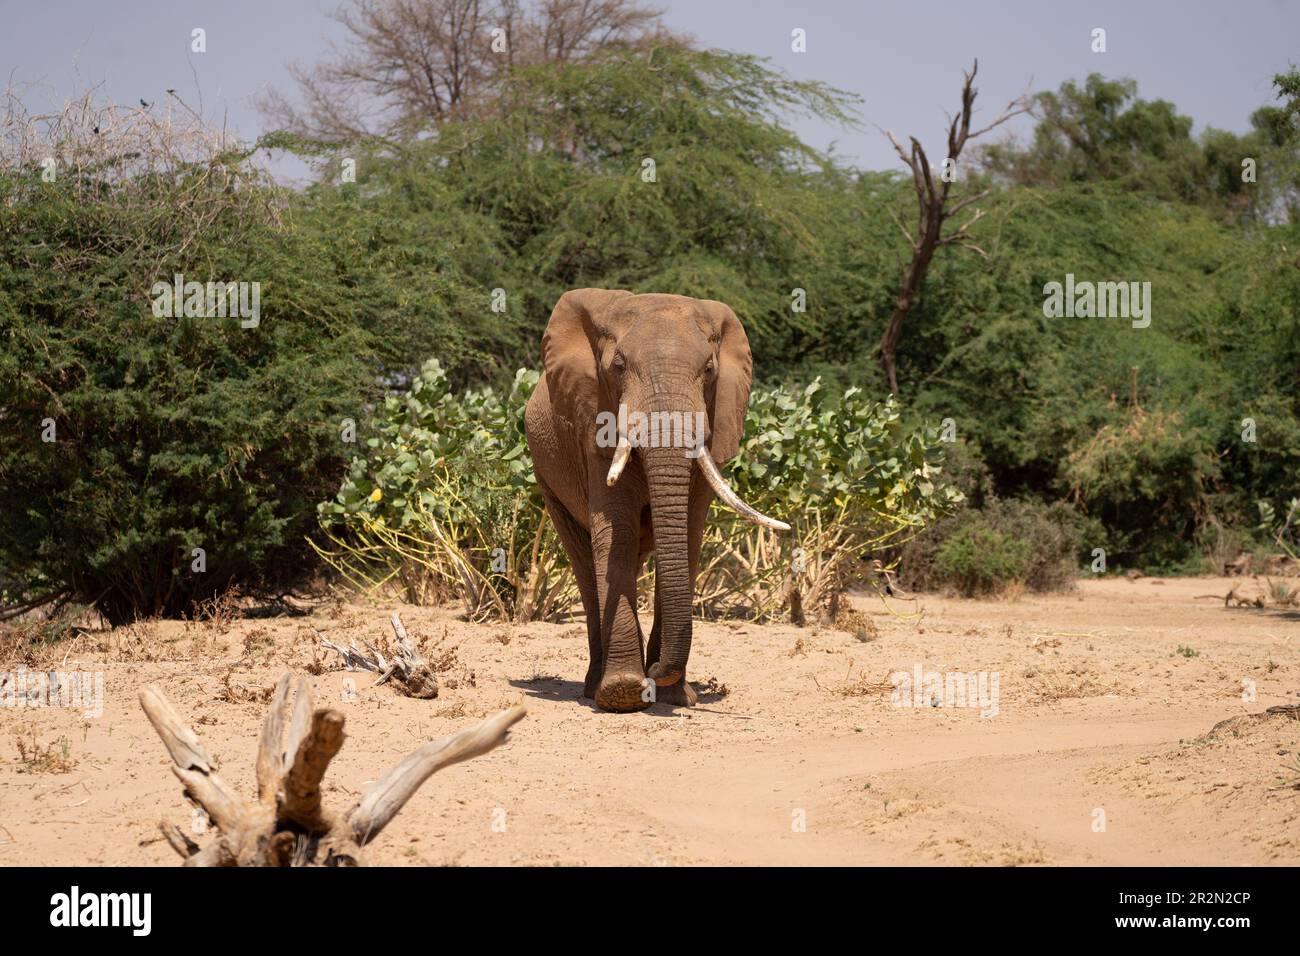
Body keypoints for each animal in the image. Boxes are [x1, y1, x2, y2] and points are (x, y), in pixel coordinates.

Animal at [524, 289, 789, 713]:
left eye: (710, 370)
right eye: (617, 366)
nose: (656, 672)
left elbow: (688, 538)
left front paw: (674, 696)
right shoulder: (593, 429)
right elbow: (615, 534)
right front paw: (624, 694)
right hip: (546, 476)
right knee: (585, 562)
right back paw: (595, 688)